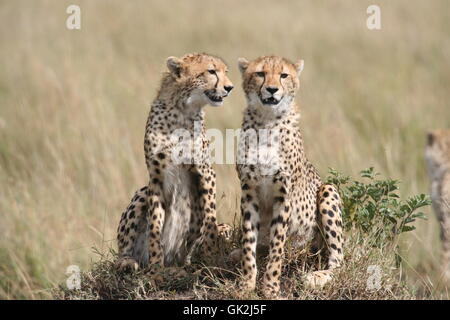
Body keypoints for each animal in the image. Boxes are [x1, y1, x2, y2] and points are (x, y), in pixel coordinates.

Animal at [116, 52, 234, 272]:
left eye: (226, 72)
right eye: (211, 71)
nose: (230, 87)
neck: (182, 109)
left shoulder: (205, 172)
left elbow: (210, 216)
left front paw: (212, 257)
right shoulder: (156, 178)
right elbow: (155, 224)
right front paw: (156, 264)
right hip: (143, 192)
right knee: (124, 249)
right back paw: (128, 261)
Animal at [236, 55, 344, 298]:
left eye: (284, 75)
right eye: (260, 73)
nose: (272, 89)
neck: (266, 122)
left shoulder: (283, 195)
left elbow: (277, 246)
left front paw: (270, 288)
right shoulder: (248, 192)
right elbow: (249, 242)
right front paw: (246, 284)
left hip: (328, 191)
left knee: (339, 259)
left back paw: (316, 277)